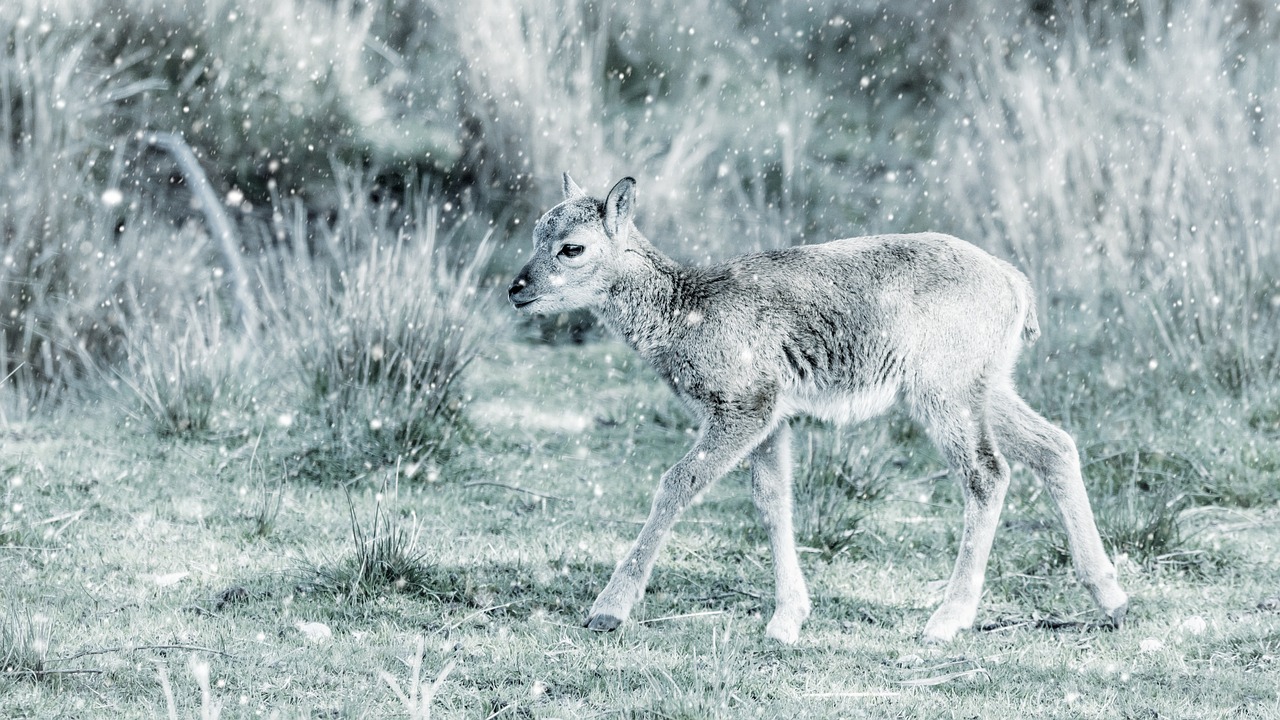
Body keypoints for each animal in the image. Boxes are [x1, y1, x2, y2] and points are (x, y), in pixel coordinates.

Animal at [504, 175, 1126, 645]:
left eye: (573, 247)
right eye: (536, 231)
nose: (517, 287)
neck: (684, 313)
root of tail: (1015, 283)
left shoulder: (745, 405)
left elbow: (678, 482)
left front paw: (608, 609)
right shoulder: (772, 418)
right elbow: (773, 501)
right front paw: (786, 620)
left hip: (943, 391)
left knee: (988, 473)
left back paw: (946, 621)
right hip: (985, 384)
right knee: (1055, 446)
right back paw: (1112, 598)